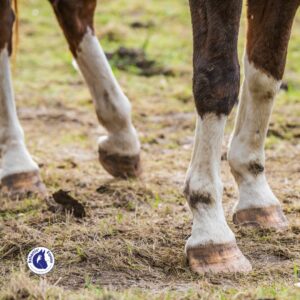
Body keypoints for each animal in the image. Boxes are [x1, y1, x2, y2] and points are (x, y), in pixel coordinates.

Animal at [0, 0, 298, 274]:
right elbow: (218, 78)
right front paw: (211, 230)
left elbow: (266, 73)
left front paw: (255, 192)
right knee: (5, 26)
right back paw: (17, 164)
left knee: (72, 10)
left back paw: (122, 138)